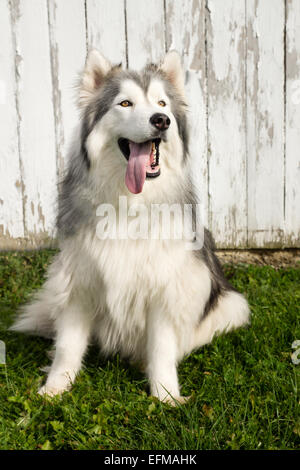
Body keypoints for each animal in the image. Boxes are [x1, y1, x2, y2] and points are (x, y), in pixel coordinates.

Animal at [11, 50, 250, 404]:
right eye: (125, 103)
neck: (129, 202)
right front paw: (55, 387)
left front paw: (166, 395)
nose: (160, 121)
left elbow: (162, 348)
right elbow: (68, 346)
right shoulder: (78, 282)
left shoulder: (165, 288)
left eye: (162, 104)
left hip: (230, 304)